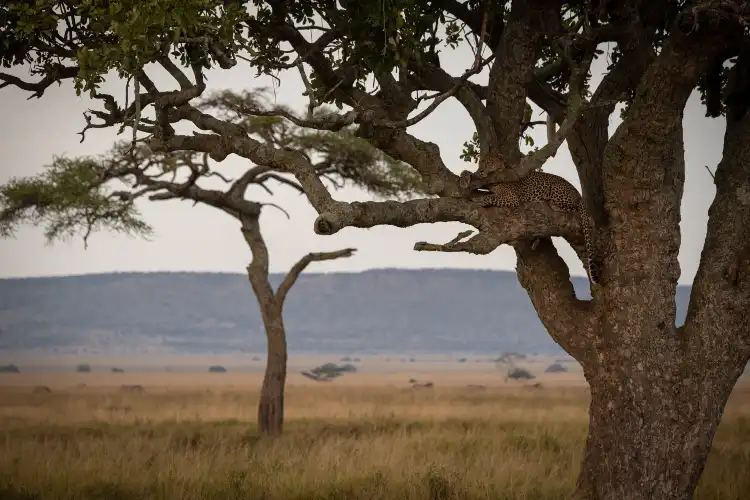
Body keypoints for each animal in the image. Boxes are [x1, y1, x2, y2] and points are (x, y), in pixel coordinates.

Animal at [472, 170, 604, 286]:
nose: (476, 176)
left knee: (572, 207)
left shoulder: (511, 198)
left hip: (556, 188)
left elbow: (491, 197)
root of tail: (578, 194)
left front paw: (478, 199)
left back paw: (552, 204)